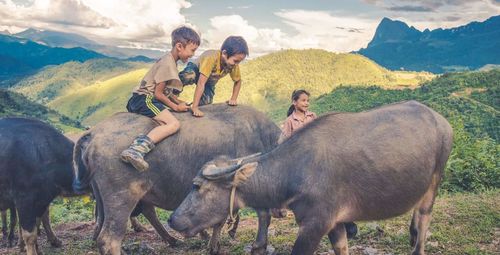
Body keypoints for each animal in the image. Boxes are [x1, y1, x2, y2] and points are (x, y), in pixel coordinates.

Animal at [72, 104, 280, 255]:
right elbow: (262, 215)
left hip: (105, 195)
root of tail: (94, 133)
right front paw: (257, 246)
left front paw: (213, 243)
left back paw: (172, 240)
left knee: (107, 224)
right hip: (123, 197)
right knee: (110, 239)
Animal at [170, 101, 456, 255]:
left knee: (424, 221)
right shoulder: (335, 223)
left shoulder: (315, 223)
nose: (173, 219)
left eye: (197, 186)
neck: (297, 169)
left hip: (434, 182)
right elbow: (342, 248)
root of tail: (441, 120)